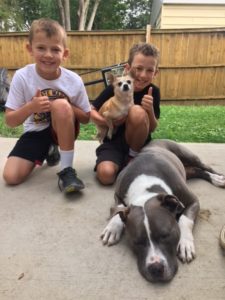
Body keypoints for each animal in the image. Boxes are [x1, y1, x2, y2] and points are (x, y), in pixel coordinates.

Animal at [100, 139, 225, 282]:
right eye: (137, 242)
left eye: (166, 235)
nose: (156, 268)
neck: (146, 189)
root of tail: (158, 139)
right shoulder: (118, 194)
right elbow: (119, 209)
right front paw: (112, 228)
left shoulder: (193, 201)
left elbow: (185, 220)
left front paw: (185, 243)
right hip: (187, 170)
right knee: (197, 170)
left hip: (189, 156)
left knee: (205, 167)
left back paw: (218, 179)